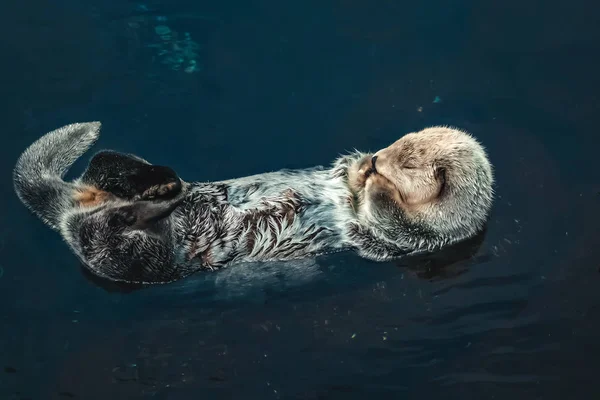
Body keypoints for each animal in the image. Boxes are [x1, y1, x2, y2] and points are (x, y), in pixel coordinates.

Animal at [12, 122, 492, 284]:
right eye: (398, 143)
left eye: (407, 163)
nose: (377, 160)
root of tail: (72, 211)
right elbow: (344, 169)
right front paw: (358, 167)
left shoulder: (410, 242)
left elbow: (389, 222)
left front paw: (376, 185)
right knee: (103, 161)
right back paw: (160, 183)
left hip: (140, 259)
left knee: (111, 237)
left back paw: (151, 200)